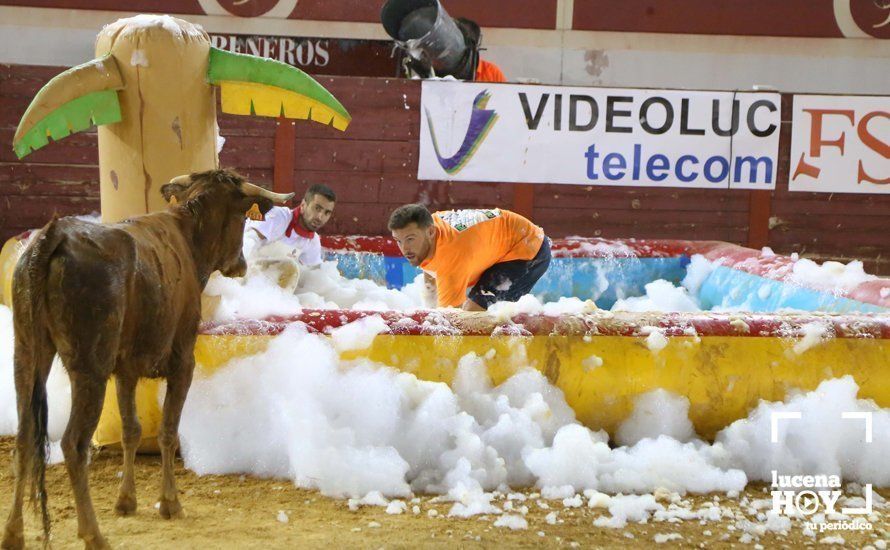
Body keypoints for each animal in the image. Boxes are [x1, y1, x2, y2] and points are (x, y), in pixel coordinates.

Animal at [0, 170, 292, 548]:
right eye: (243, 218)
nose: (240, 265)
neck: (188, 232)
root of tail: (52, 236)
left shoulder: (125, 371)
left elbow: (131, 430)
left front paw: (127, 501)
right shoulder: (183, 362)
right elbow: (168, 430)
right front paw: (170, 503)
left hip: (26, 353)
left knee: (24, 438)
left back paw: (13, 533)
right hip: (90, 369)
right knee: (73, 444)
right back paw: (93, 534)